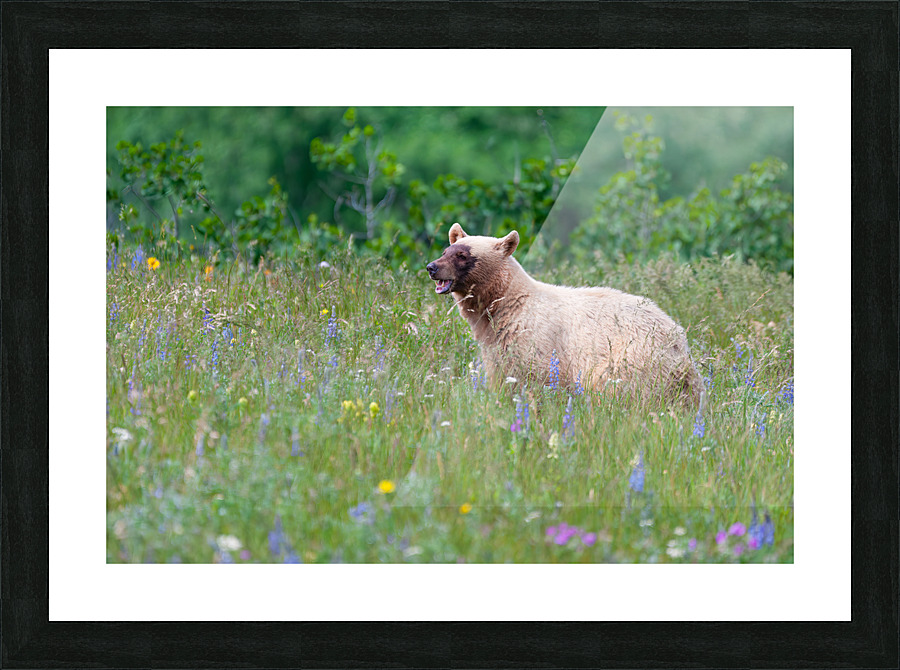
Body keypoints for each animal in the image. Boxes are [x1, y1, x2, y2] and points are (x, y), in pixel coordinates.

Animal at [426, 222, 706, 412]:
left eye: (463, 255)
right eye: (447, 249)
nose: (432, 267)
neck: (504, 305)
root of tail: (679, 343)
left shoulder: (535, 338)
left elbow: (536, 379)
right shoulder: (496, 346)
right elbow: (501, 378)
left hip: (632, 360)